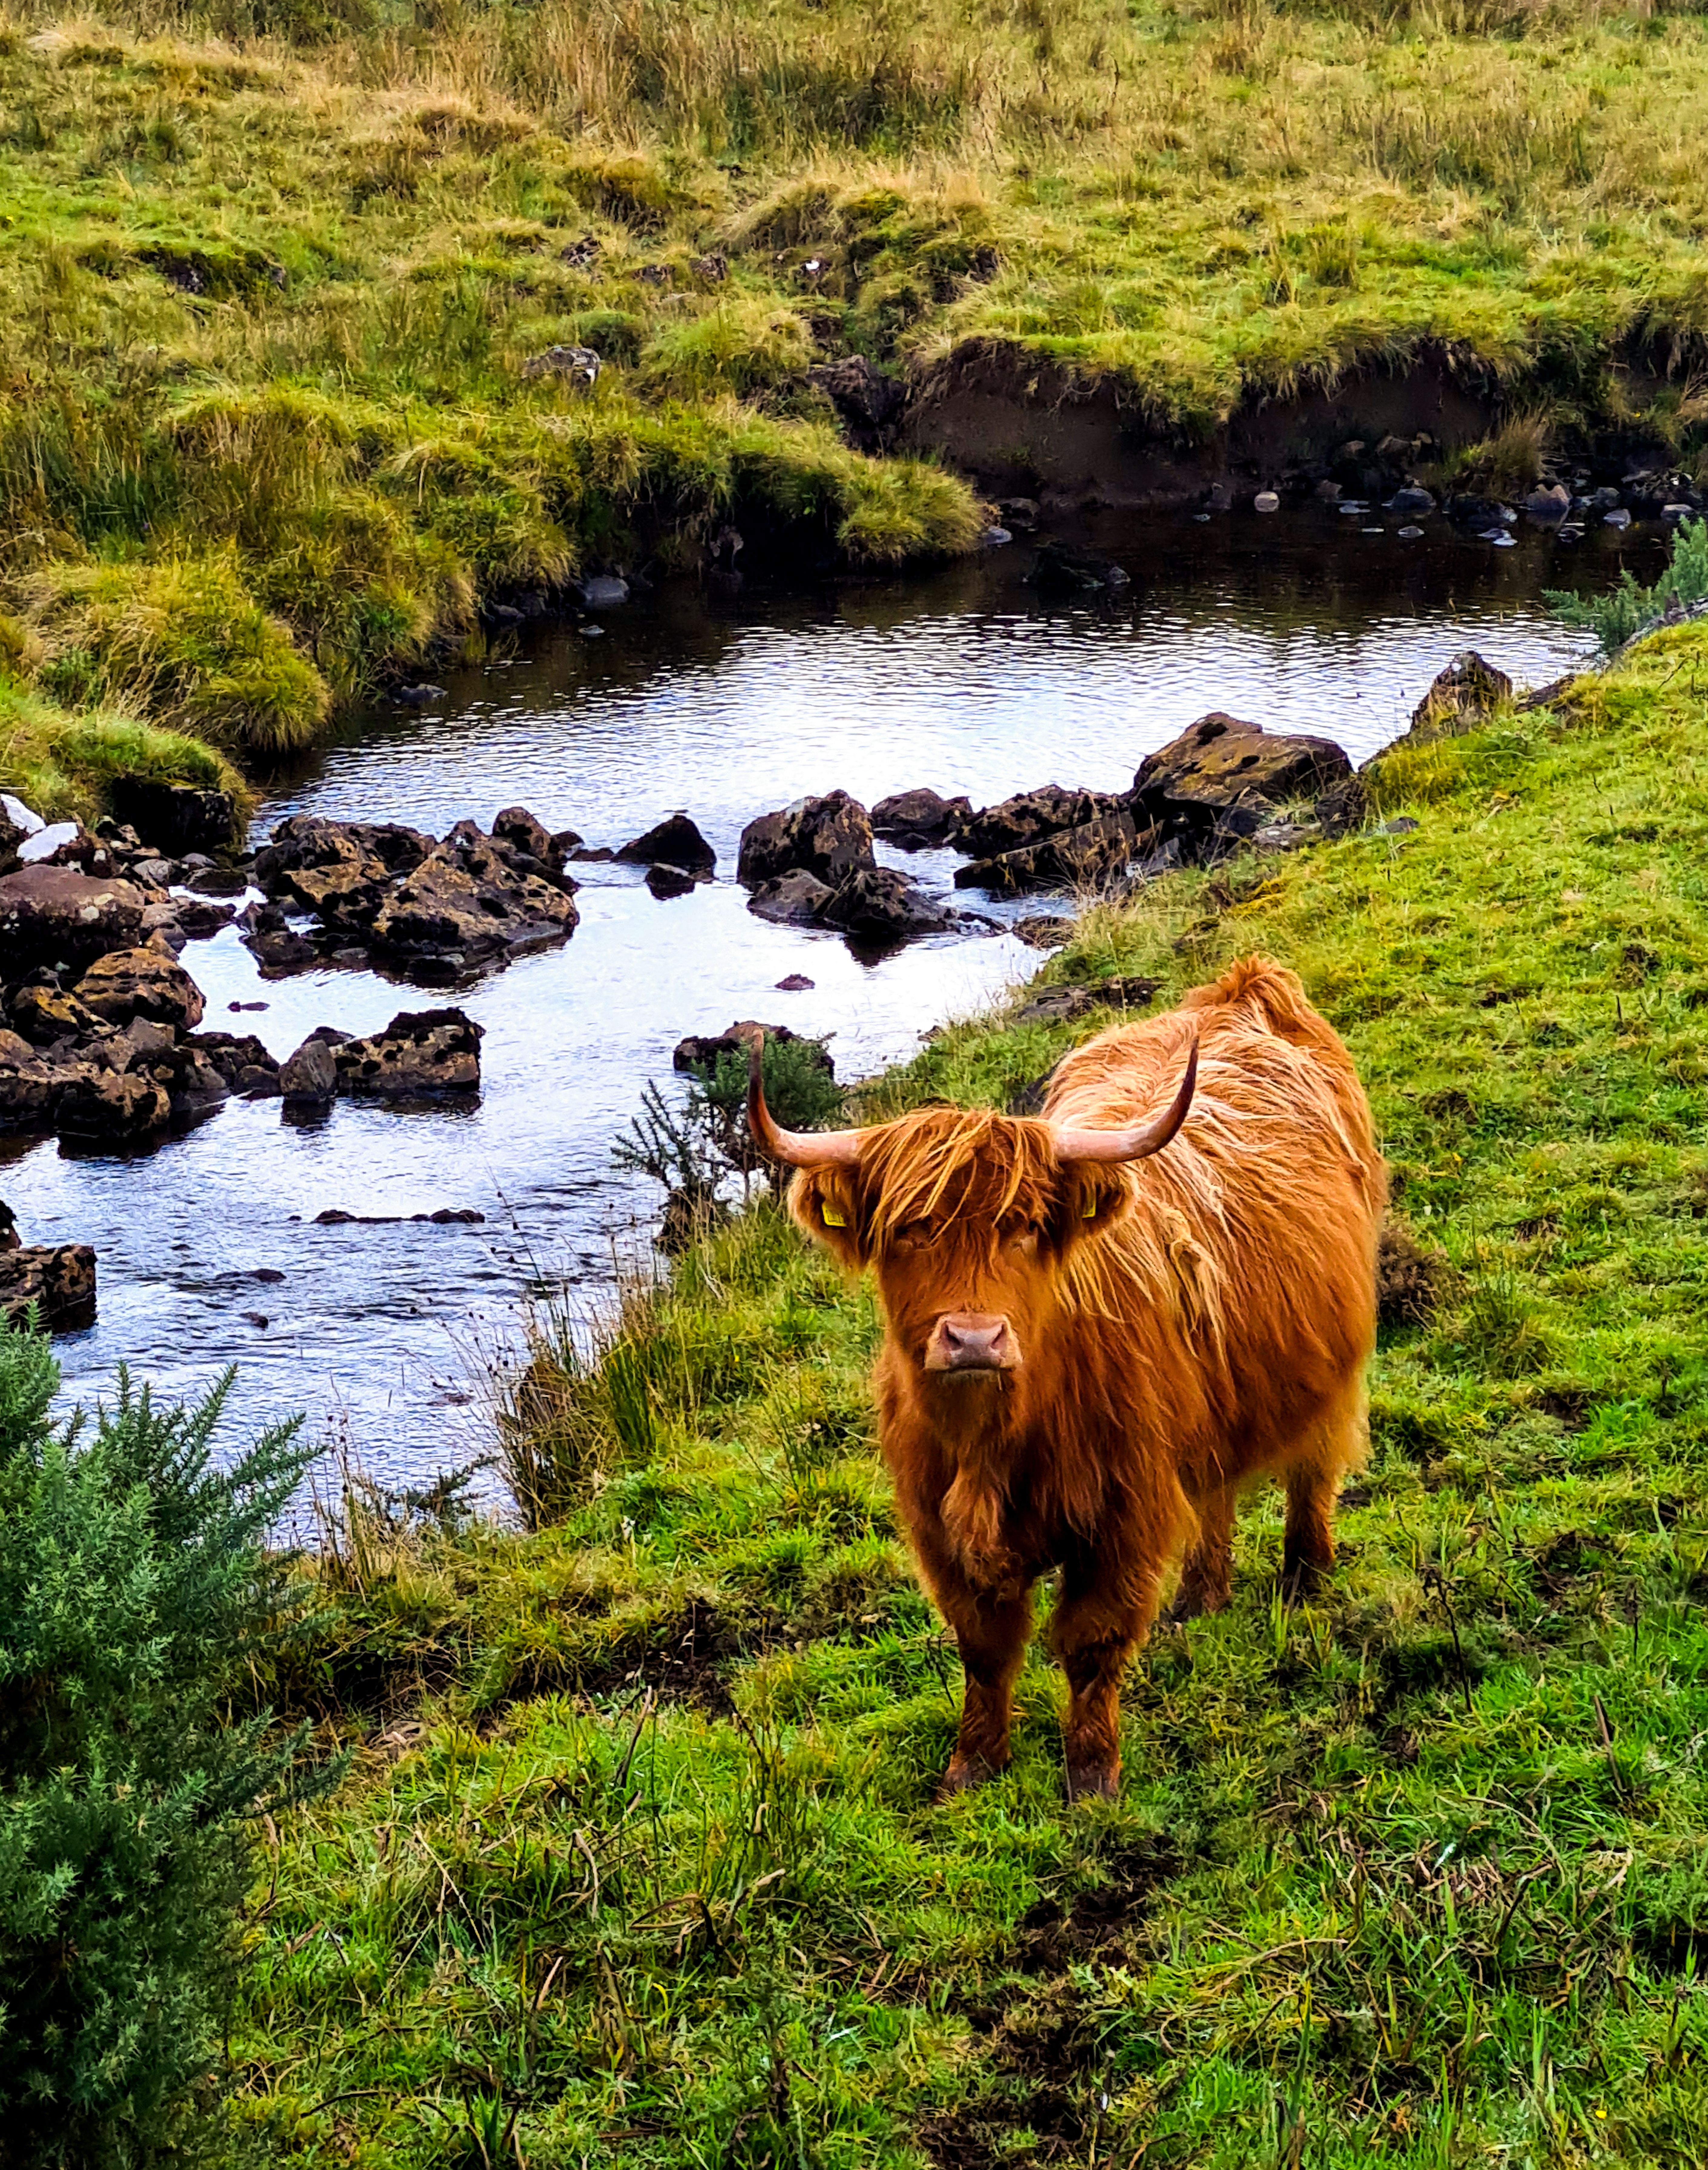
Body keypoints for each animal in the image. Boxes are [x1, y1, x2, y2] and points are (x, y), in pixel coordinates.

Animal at [746, 956, 1385, 1802]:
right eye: (910, 1230)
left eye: (1022, 1228)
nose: (973, 1337)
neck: (997, 1439)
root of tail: (1244, 990)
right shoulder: (937, 1527)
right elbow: (984, 1649)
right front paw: (973, 1764)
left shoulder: (1122, 1513)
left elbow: (1090, 1641)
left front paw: (1091, 1775)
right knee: (1215, 1485)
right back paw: (1200, 1596)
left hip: (1329, 1368)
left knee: (1311, 1469)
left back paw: (1306, 1579)